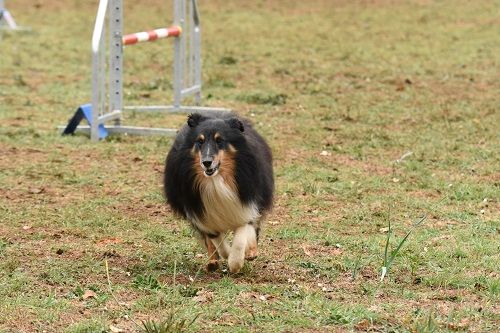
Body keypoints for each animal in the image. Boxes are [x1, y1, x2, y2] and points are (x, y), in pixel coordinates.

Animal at [164, 111, 274, 272]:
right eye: (200, 141)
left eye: (219, 140)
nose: (206, 162)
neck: (216, 181)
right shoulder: (202, 213)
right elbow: (217, 240)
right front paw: (227, 256)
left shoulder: (246, 203)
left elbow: (242, 234)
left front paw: (236, 262)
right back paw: (212, 262)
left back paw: (251, 252)